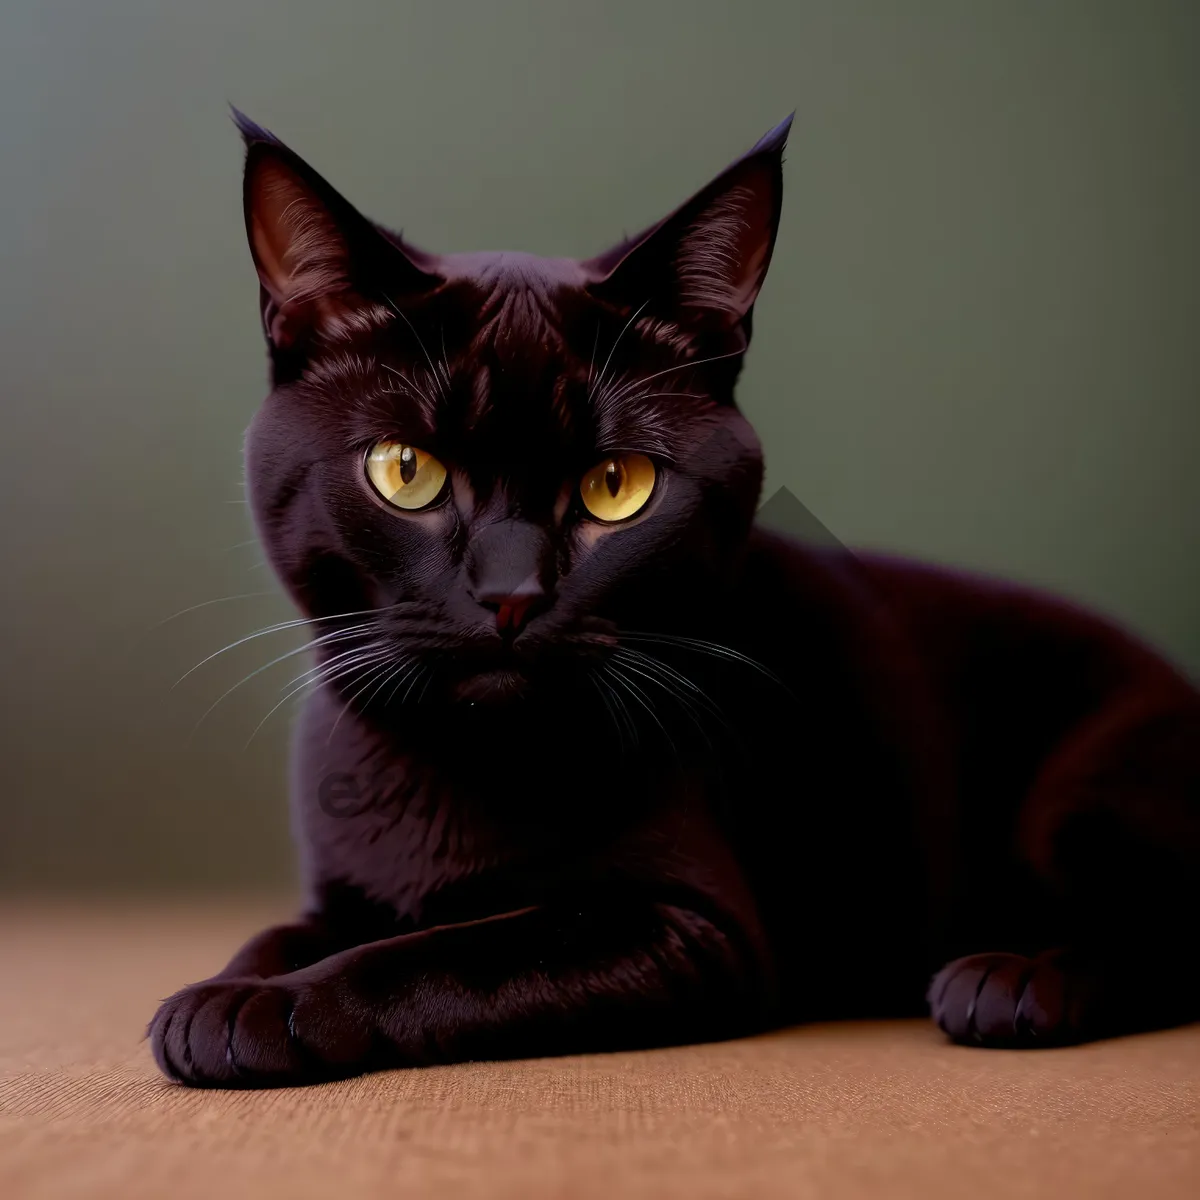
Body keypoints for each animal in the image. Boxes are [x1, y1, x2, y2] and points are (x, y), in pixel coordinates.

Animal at [145, 114, 1195, 1089]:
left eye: (617, 486)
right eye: (407, 472)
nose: (511, 594)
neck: (455, 769)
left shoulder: (692, 931)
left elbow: (449, 952)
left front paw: (261, 1009)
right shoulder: (340, 892)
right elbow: (288, 931)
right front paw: (230, 983)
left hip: (1081, 794)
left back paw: (1013, 981)